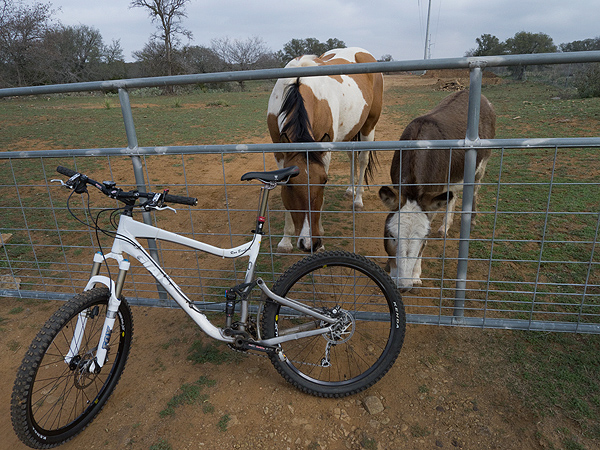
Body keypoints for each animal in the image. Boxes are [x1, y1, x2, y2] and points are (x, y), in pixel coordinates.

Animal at [268, 49, 382, 255]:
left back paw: (358, 199)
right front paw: (285, 240)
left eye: (324, 181)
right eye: (289, 185)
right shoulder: (279, 151)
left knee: (362, 160)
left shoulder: (324, 151)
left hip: (369, 126)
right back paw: (350, 190)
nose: (309, 243)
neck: (298, 85)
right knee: (352, 156)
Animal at [380, 89, 496, 290]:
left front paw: (416, 275)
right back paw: (445, 227)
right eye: (391, 235)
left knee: (475, 189)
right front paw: (389, 266)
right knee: (453, 196)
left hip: (481, 164)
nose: (403, 286)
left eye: (424, 238)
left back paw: (471, 219)